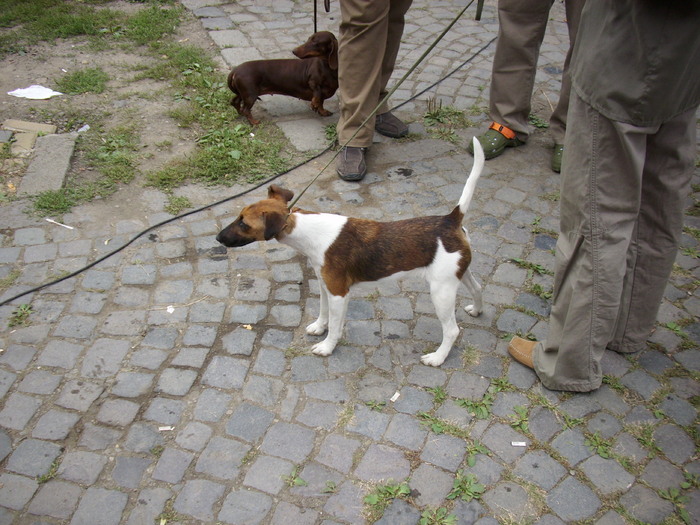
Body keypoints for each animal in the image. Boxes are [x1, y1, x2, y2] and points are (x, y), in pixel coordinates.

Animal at [216, 137, 484, 364]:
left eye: (243, 223)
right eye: (239, 217)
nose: (218, 237)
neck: (308, 231)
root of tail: (450, 220)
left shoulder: (338, 293)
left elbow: (335, 326)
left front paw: (327, 347)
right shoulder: (324, 284)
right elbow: (323, 312)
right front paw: (319, 327)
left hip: (441, 291)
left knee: (452, 330)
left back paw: (437, 358)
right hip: (460, 274)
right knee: (478, 289)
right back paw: (476, 310)